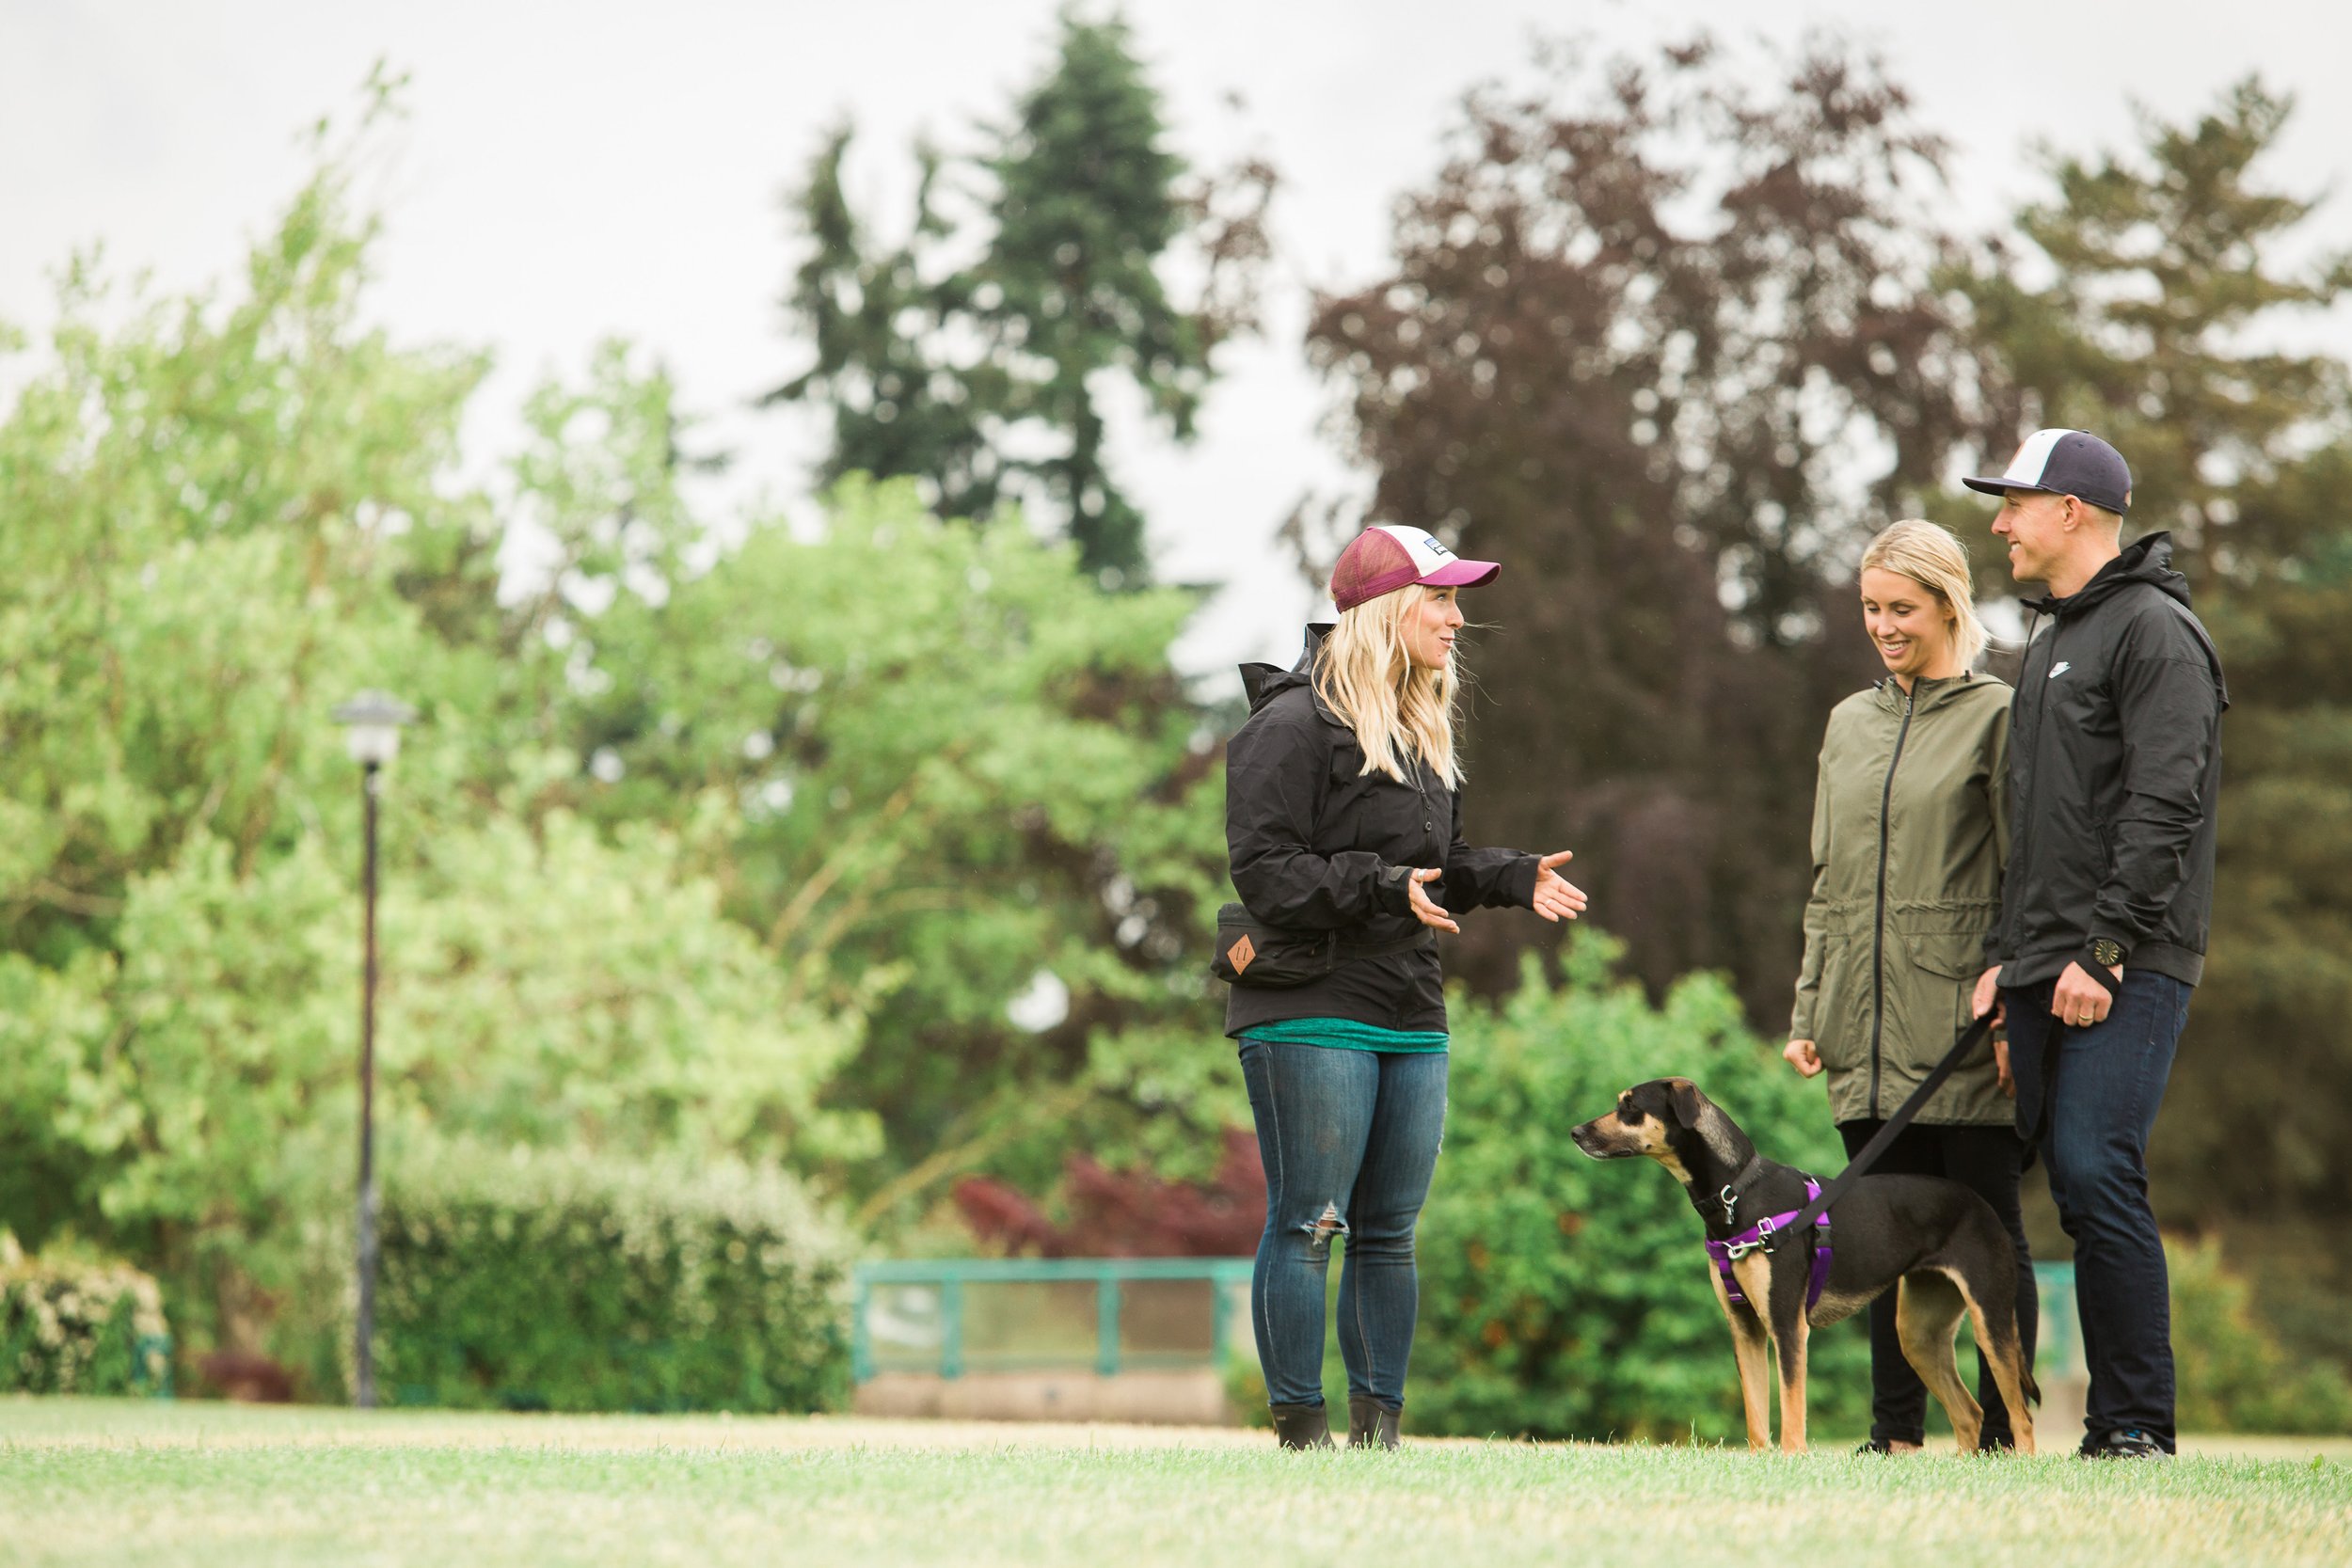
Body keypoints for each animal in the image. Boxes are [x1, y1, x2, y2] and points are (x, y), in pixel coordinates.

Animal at [1571, 1081, 2032, 1457]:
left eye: (1630, 1106)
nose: (1575, 1133)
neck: (1736, 1194)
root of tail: (1983, 1205)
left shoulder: (1787, 1324)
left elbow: (1792, 1404)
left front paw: (1793, 1458)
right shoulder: (1745, 1328)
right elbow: (1756, 1412)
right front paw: (1761, 1460)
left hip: (1991, 1320)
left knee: (2020, 1416)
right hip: (1919, 1335)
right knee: (1969, 1413)